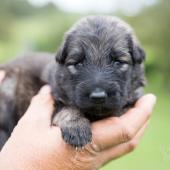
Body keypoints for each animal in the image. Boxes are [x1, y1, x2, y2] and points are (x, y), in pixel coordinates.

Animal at [0, 15, 145, 148]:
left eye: (118, 62)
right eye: (78, 64)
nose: (98, 97)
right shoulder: (57, 96)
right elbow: (66, 109)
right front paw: (77, 128)